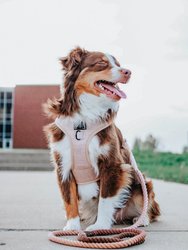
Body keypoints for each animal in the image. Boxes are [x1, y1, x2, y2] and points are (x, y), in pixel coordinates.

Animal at [43, 47, 160, 230]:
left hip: (142, 184)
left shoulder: (112, 165)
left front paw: (100, 227)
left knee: (149, 206)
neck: (84, 121)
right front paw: (72, 227)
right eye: (101, 63)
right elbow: (69, 199)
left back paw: (141, 220)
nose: (128, 72)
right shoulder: (63, 164)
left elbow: (105, 200)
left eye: (118, 64)